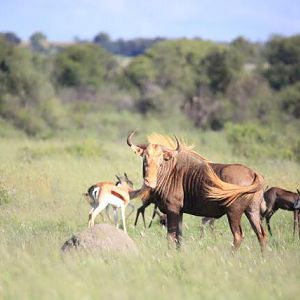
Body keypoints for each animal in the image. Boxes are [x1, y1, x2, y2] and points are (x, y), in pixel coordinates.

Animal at [126, 132, 264, 252]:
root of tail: (253, 173)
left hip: (233, 213)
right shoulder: (179, 212)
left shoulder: (172, 210)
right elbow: (179, 237)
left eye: (161, 161)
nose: (149, 182)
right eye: (145, 158)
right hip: (252, 212)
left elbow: (170, 236)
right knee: (261, 234)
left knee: (238, 236)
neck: (170, 171)